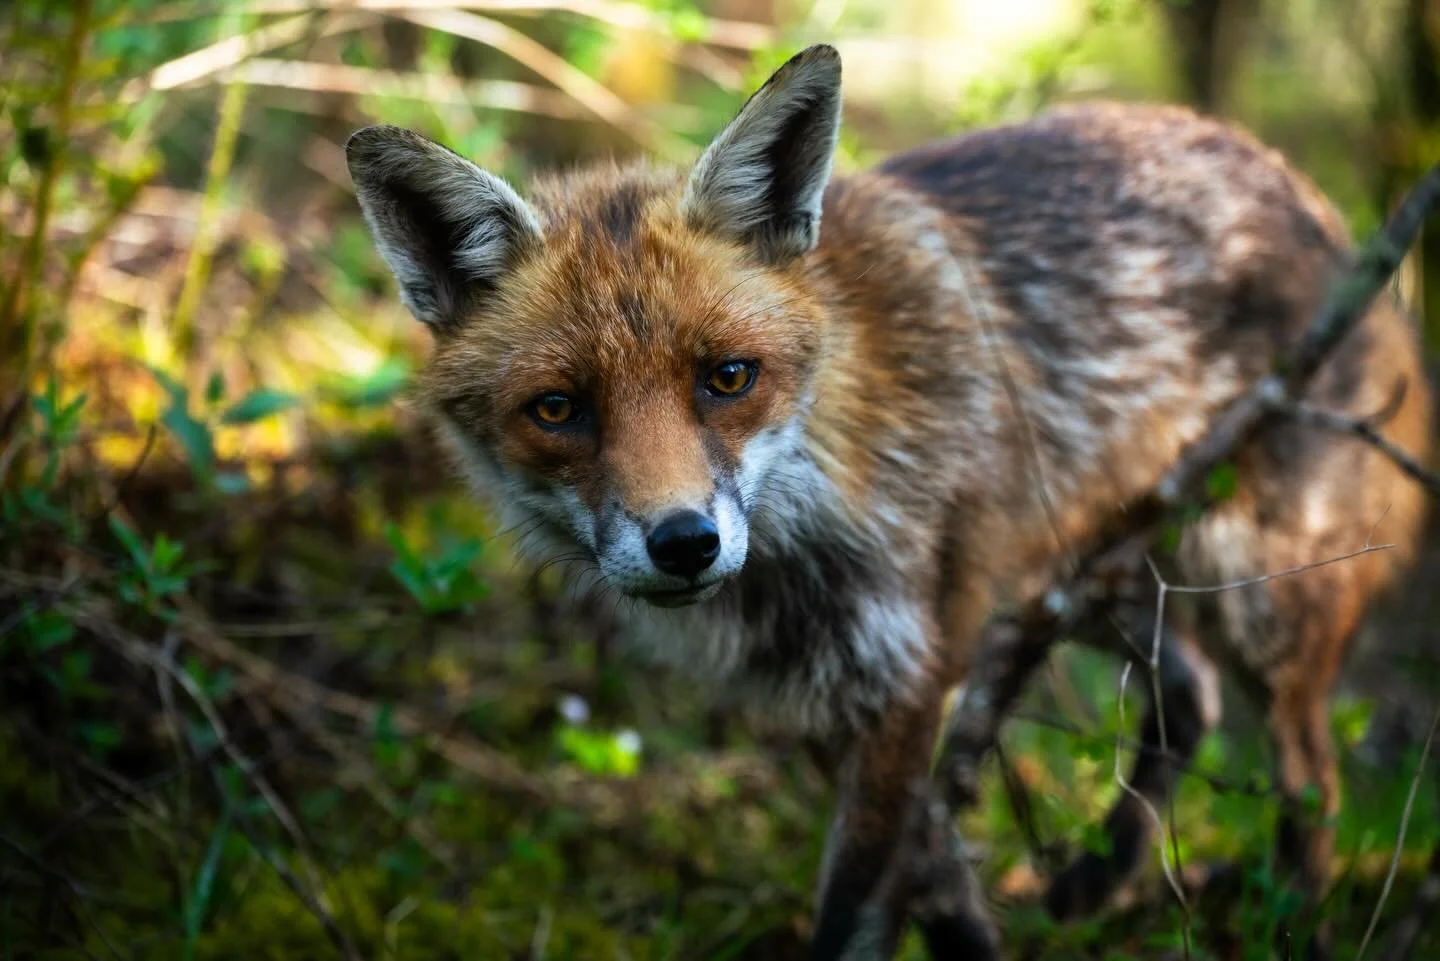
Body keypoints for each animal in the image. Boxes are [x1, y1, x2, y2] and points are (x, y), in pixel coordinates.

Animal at [345, 44, 1432, 961]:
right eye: (559, 409)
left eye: (728, 377)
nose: (684, 542)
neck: (818, 488)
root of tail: (1316, 206)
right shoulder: (836, 690)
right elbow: (936, 883)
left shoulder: (907, 668)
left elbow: (861, 909)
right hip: (1077, 579)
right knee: (1189, 692)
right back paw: (1103, 873)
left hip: (1259, 603)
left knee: (1311, 784)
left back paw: (1292, 925)